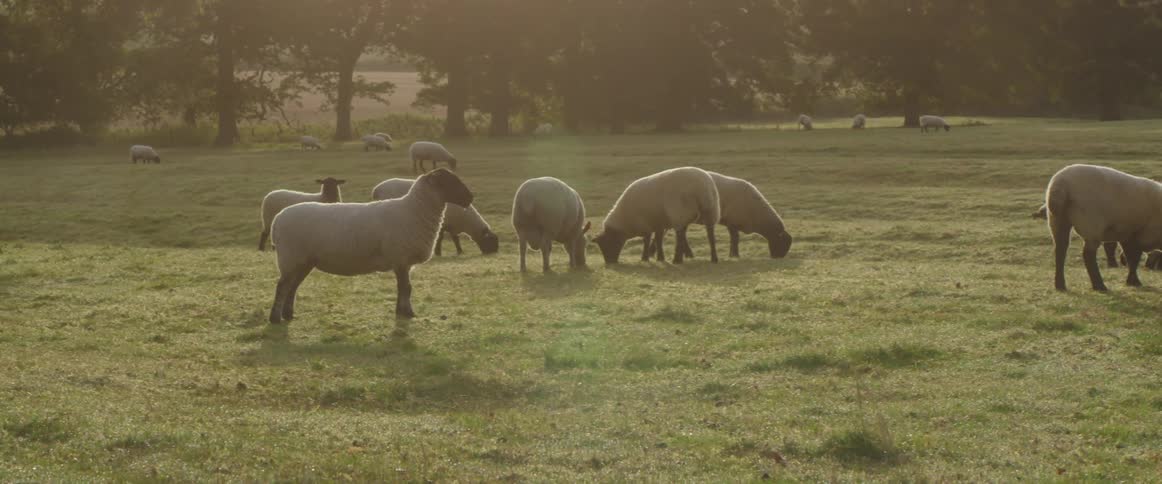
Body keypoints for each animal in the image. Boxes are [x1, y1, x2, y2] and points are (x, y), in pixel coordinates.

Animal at [267, 168, 473, 323]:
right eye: (448, 181)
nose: (470, 198)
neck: (413, 210)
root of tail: (277, 220)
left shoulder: (403, 262)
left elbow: (403, 288)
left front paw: (400, 311)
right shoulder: (400, 258)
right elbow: (406, 288)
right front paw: (408, 313)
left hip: (304, 260)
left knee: (293, 286)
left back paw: (288, 315)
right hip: (290, 256)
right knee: (282, 286)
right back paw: (275, 318)